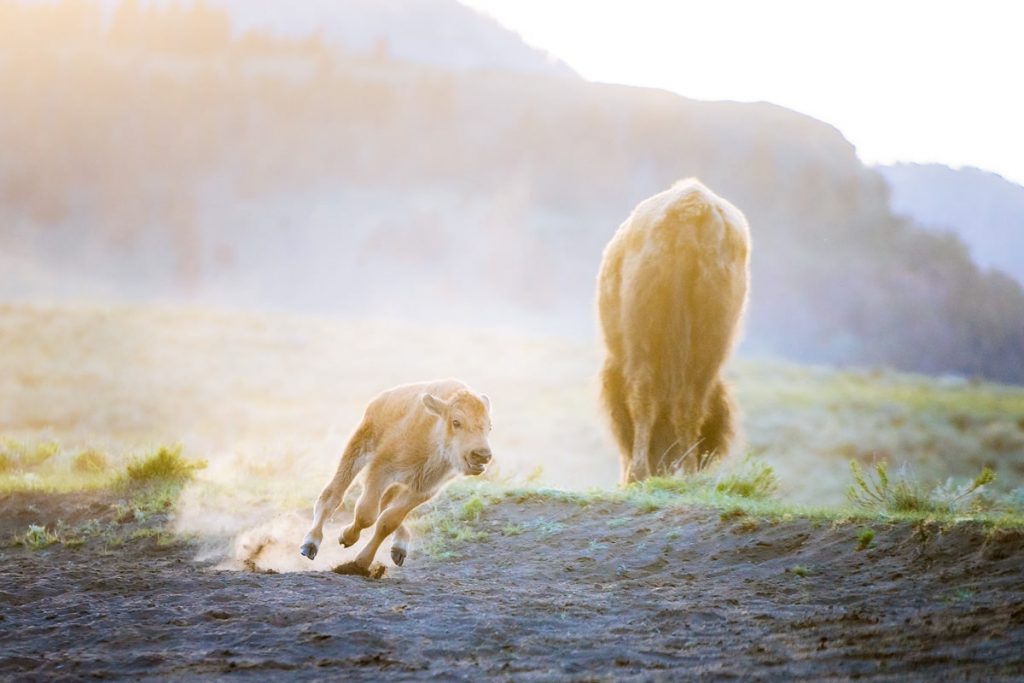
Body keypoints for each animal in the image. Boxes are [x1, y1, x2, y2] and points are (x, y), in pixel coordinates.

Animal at [299, 378, 493, 573]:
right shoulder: (380, 471)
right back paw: (310, 544)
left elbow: (388, 521)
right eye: (456, 422)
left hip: (397, 483)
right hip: (359, 449)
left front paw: (362, 562)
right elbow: (366, 514)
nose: (482, 454)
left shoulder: (423, 489)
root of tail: (380, 399)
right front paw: (347, 538)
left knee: (384, 506)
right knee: (332, 495)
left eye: (490, 427)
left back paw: (399, 548)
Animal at [593, 179, 753, 483]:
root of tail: (693, 208)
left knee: (644, 395)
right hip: (708, 344)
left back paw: (640, 474)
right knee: (689, 404)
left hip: (646, 339)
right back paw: (687, 475)